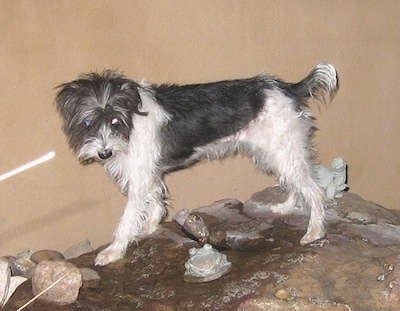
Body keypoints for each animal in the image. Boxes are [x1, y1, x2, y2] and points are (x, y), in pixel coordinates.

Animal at [54, 62, 340, 266]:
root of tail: (287, 88)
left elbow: (127, 218)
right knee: (297, 183)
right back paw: (286, 207)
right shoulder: (149, 173)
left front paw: (113, 251)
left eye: (115, 120)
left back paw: (314, 232)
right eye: (88, 122)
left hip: (282, 152)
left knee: (315, 190)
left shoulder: (139, 175)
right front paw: (150, 227)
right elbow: (155, 200)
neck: (132, 119)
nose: (105, 153)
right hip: (276, 154)